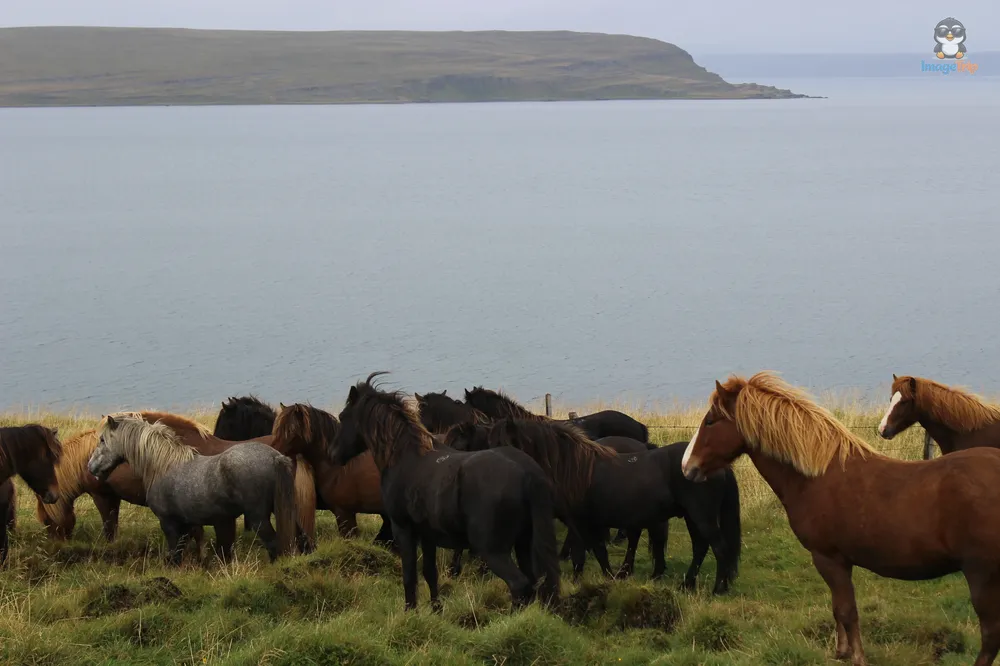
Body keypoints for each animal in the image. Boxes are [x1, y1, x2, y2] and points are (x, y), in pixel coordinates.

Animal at [87, 413, 297, 564]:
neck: (163, 466)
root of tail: (276, 457)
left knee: (274, 545)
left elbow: (175, 555)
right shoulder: (187, 524)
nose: (91, 468)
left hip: (258, 518)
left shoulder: (169, 524)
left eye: (102, 440)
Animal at [331, 372, 560, 611]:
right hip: (524, 543)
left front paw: (410, 611)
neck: (406, 458)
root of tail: (527, 473)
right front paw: (436, 610)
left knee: (519, 585)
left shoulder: (403, 530)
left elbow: (409, 576)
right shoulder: (427, 535)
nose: (333, 454)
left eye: (343, 416)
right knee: (534, 582)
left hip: (493, 550)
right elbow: (430, 574)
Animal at [680, 371, 1000, 666]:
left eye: (710, 421)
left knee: (990, 636)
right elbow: (838, 608)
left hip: (982, 576)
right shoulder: (840, 562)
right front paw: (842, 651)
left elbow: (847, 610)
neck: (817, 476)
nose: (686, 467)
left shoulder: (828, 558)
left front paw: (857, 657)